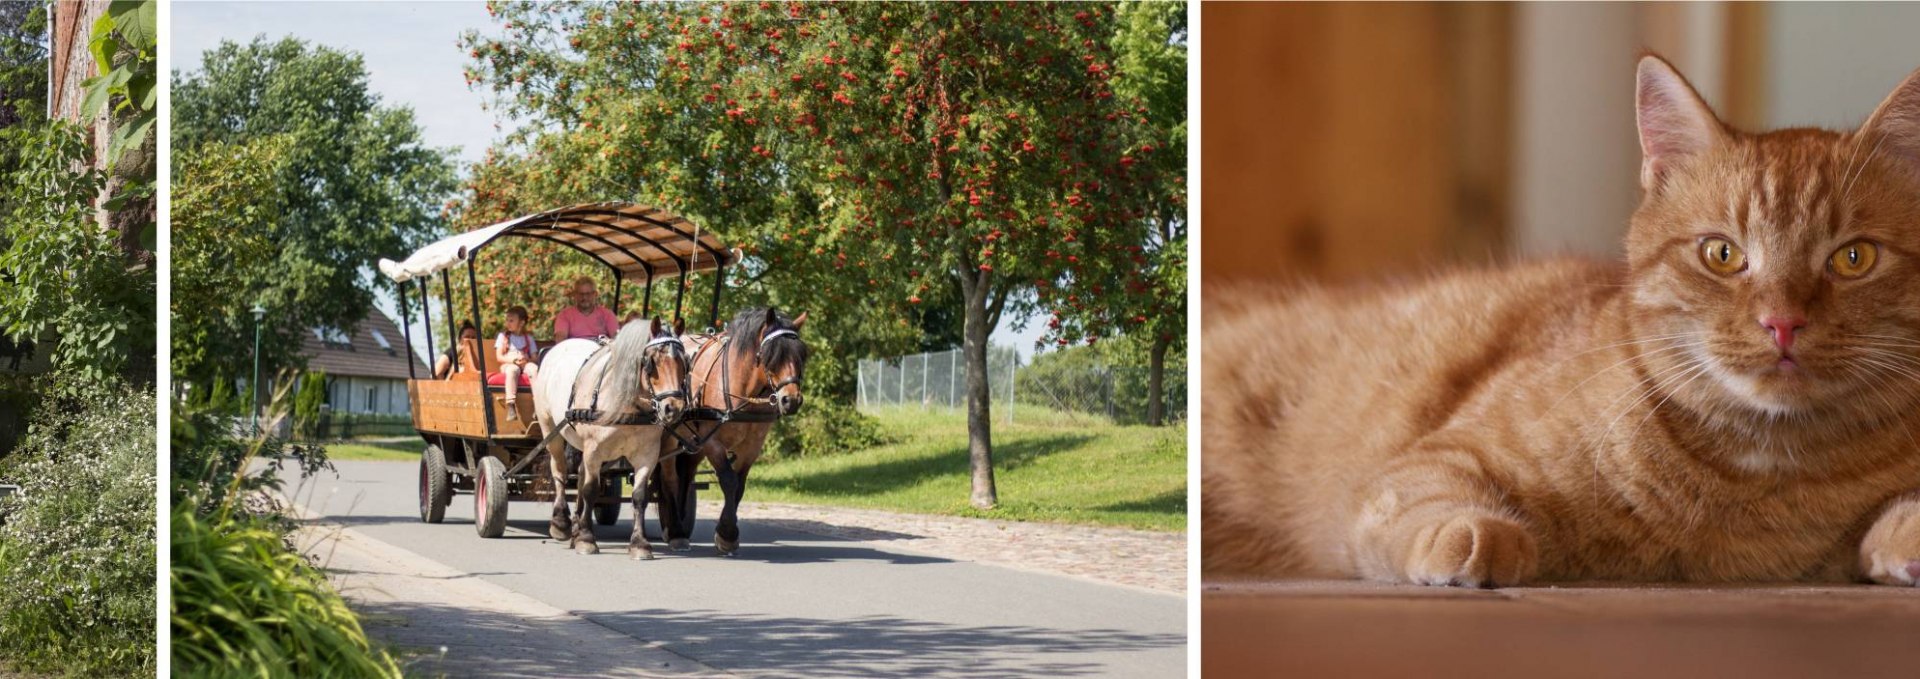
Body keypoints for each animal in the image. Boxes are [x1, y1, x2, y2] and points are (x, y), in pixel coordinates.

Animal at [660, 306, 810, 556]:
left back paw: (680, 522)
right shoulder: (713, 443)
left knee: (686, 476)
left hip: (693, 443)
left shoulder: (751, 446)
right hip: (673, 438)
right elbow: (729, 481)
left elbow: (739, 485)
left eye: (801, 355)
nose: (791, 400)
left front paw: (727, 533)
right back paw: (675, 531)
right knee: (669, 478)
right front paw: (727, 534)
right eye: (771, 355)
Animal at [1205, 57, 1920, 586]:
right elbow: (1431, 498)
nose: (1782, 322)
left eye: (1853, 258)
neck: (1756, 475)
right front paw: (1473, 536)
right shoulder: (1434, 459)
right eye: (1722, 254)